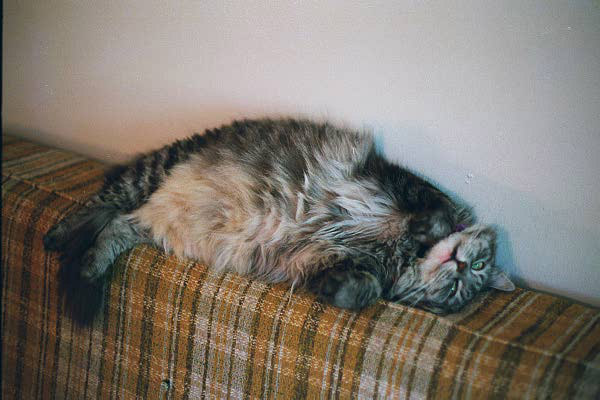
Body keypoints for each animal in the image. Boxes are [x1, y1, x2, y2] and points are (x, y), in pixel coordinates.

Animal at [44, 118, 515, 321]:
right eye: (477, 265)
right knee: (98, 205)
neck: (400, 255)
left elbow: (362, 291)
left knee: (111, 229)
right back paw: (58, 236)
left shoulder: (335, 261)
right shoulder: (395, 182)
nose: (459, 266)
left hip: (146, 224)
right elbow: (435, 211)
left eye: (455, 291)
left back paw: (85, 277)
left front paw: (341, 290)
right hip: (153, 171)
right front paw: (430, 228)